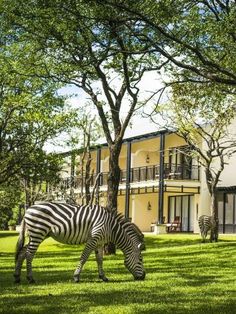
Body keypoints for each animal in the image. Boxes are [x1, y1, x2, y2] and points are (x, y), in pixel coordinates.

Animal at [13, 202, 146, 284]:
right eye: (140, 259)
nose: (144, 277)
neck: (111, 227)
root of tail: (28, 209)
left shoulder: (100, 242)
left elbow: (99, 260)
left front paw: (103, 277)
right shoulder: (93, 239)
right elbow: (84, 257)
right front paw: (76, 277)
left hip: (39, 234)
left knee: (22, 252)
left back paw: (17, 277)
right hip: (38, 233)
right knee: (29, 254)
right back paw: (30, 278)